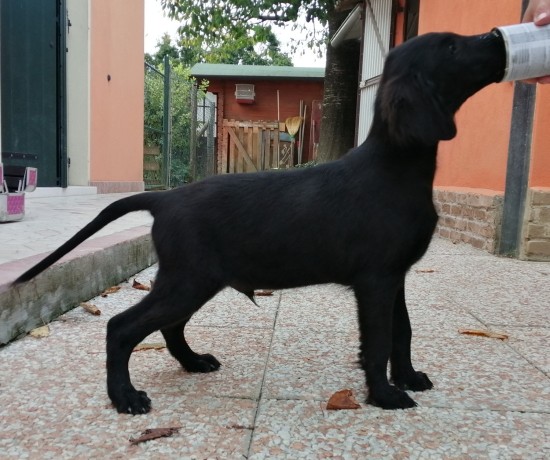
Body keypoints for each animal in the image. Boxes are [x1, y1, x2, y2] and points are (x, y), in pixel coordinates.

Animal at [14, 31, 504, 414]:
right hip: (188, 280)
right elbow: (380, 339)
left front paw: (408, 377)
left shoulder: (395, 276)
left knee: (169, 326)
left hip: (192, 281)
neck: (397, 168)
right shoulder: (377, 280)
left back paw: (193, 362)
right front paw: (385, 395)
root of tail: (165, 197)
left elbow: (403, 332)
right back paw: (125, 397)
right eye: (451, 46)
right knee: (122, 328)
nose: (499, 37)